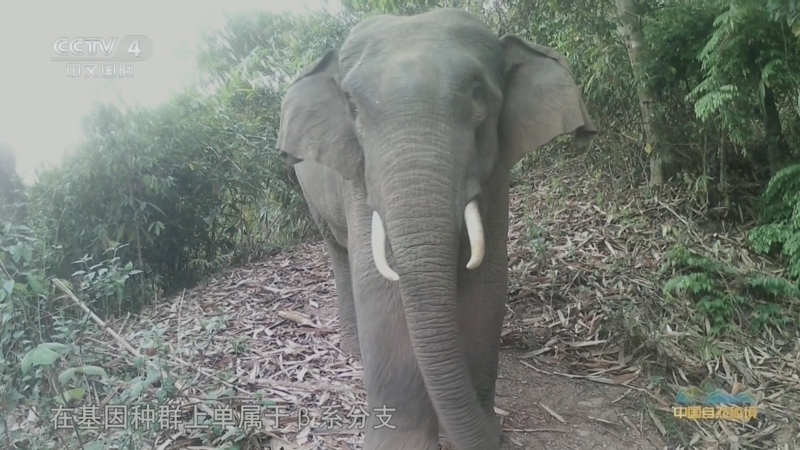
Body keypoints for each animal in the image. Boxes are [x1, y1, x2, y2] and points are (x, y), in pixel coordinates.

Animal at [276, 8, 596, 450]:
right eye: (352, 105)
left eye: (478, 94)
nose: (498, 433)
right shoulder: (358, 176)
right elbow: (380, 287)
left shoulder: (494, 172)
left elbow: (487, 281)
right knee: (339, 256)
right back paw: (354, 350)